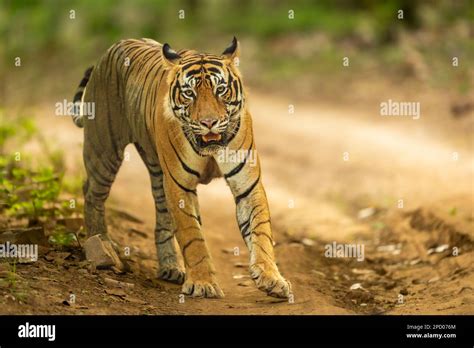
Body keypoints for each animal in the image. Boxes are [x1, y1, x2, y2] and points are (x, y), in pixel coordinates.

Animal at [71, 38, 290, 300]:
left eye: (220, 89)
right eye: (189, 93)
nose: (209, 122)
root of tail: (116, 45)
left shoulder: (247, 184)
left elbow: (261, 232)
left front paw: (271, 279)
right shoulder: (179, 185)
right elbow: (192, 236)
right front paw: (203, 283)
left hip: (156, 171)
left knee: (162, 217)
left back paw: (170, 266)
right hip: (104, 150)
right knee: (92, 193)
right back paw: (102, 245)